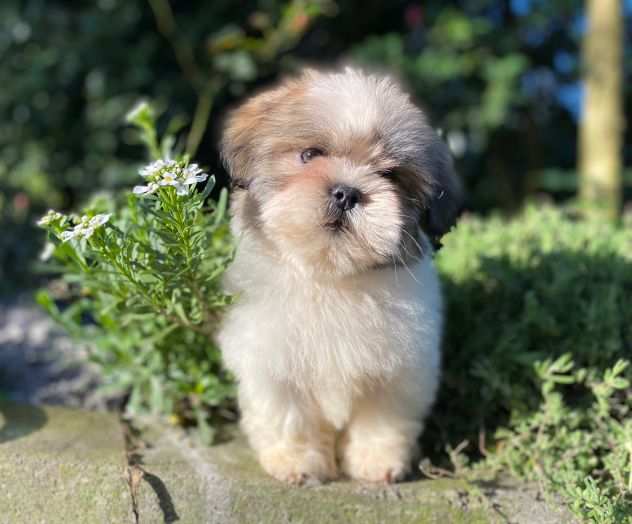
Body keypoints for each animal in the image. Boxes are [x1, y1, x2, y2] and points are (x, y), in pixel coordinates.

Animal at [216, 67, 460, 486]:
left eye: (391, 175)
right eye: (310, 155)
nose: (347, 193)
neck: (332, 278)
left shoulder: (400, 368)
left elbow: (381, 417)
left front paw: (377, 461)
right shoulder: (270, 360)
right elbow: (289, 416)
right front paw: (298, 462)